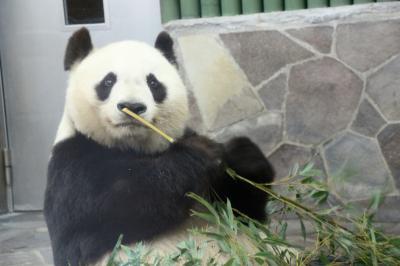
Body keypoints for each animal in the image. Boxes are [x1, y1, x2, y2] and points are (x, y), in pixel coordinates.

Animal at [43, 27, 276, 266]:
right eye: (108, 81)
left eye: (153, 83)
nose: (132, 106)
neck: (132, 146)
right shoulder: (72, 162)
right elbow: (116, 205)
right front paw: (201, 152)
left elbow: (244, 211)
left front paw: (242, 156)